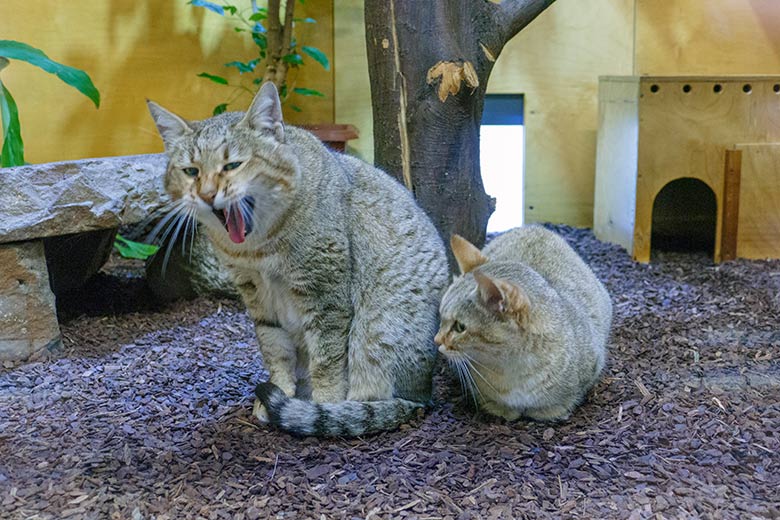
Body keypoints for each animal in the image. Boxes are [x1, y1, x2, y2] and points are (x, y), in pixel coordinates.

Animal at [149, 83, 448, 436]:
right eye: (191, 171)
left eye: (232, 165)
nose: (207, 195)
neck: (258, 247)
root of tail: (425, 394)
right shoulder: (256, 296)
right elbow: (274, 350)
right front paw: (280, 393)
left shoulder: (326, 295)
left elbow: (327, 360)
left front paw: (326, 403)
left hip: (378, 330)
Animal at [436, 228, 612, 422]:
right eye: (441, 316)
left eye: (460, 327)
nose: (437, 340)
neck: (510, 368)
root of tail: (536, 227)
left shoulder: (593, 366)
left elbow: (563, 400)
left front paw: (550, 411)